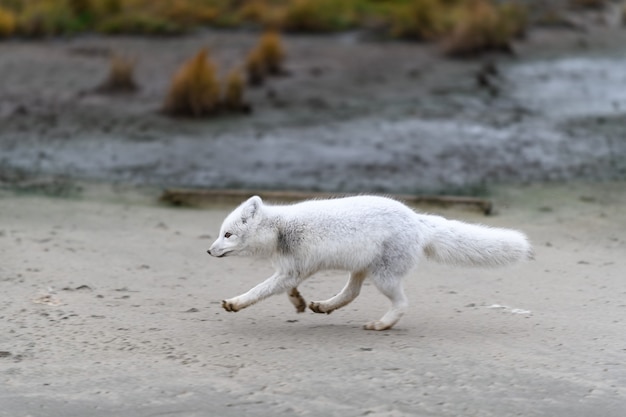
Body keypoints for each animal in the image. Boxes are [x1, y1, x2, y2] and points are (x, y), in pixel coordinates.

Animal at [207, 194, 528, 328]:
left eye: (228, 234)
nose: (209, 252)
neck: (280, 230)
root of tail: (417, 220)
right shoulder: (294, 271)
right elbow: (287, 289)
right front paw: (298, 302)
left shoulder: (293, 270)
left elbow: (258, 291)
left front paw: (235, 303)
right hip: (362, 270)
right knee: (352, 293)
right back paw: (324, 306)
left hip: (384, 277)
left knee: (401, 304)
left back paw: (381, 325)